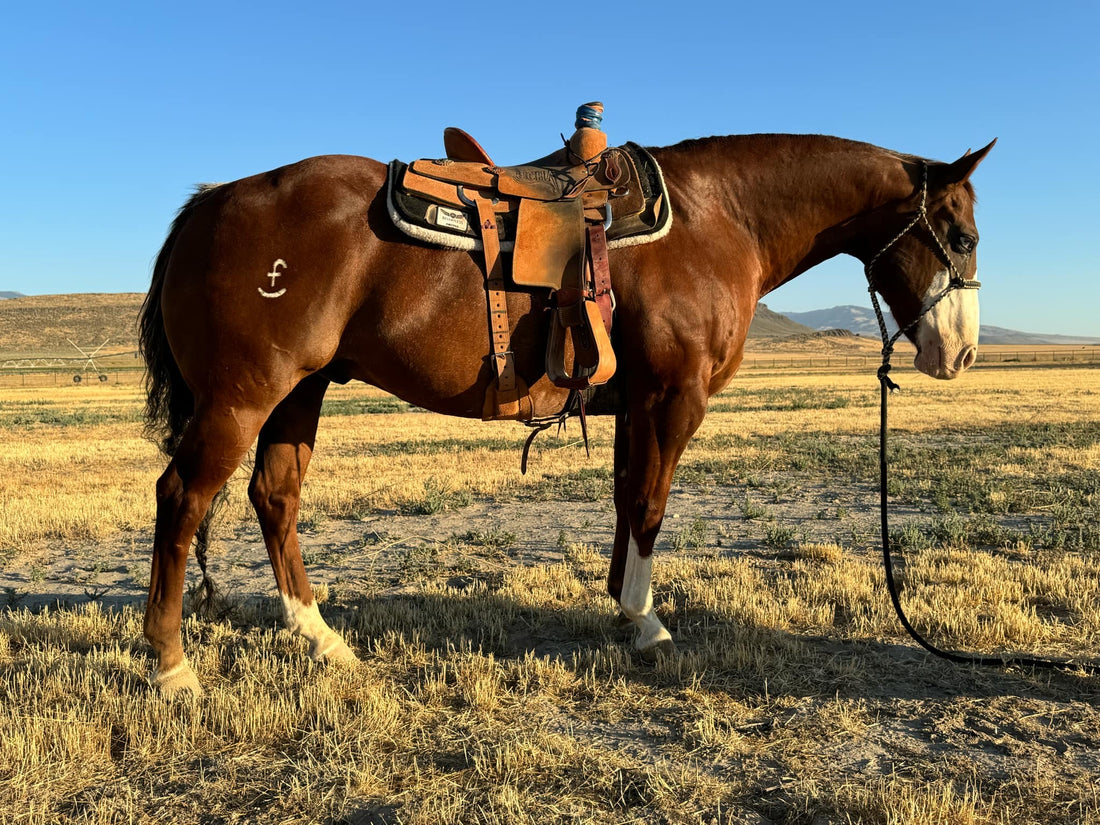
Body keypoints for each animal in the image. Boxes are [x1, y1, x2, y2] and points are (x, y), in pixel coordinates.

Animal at [138, 130, 994, 695]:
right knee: (182, 498)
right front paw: (646, 622)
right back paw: (172, 665)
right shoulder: (673, 398)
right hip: (242, 398)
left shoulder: (634, 403)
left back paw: (319, 636)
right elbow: (650, 504)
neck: (717, 216)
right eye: (960, 234)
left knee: (273, 496)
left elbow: (626, 500)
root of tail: (211, 203)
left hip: (300, 392)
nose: (960, 354)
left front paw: (620, 607)